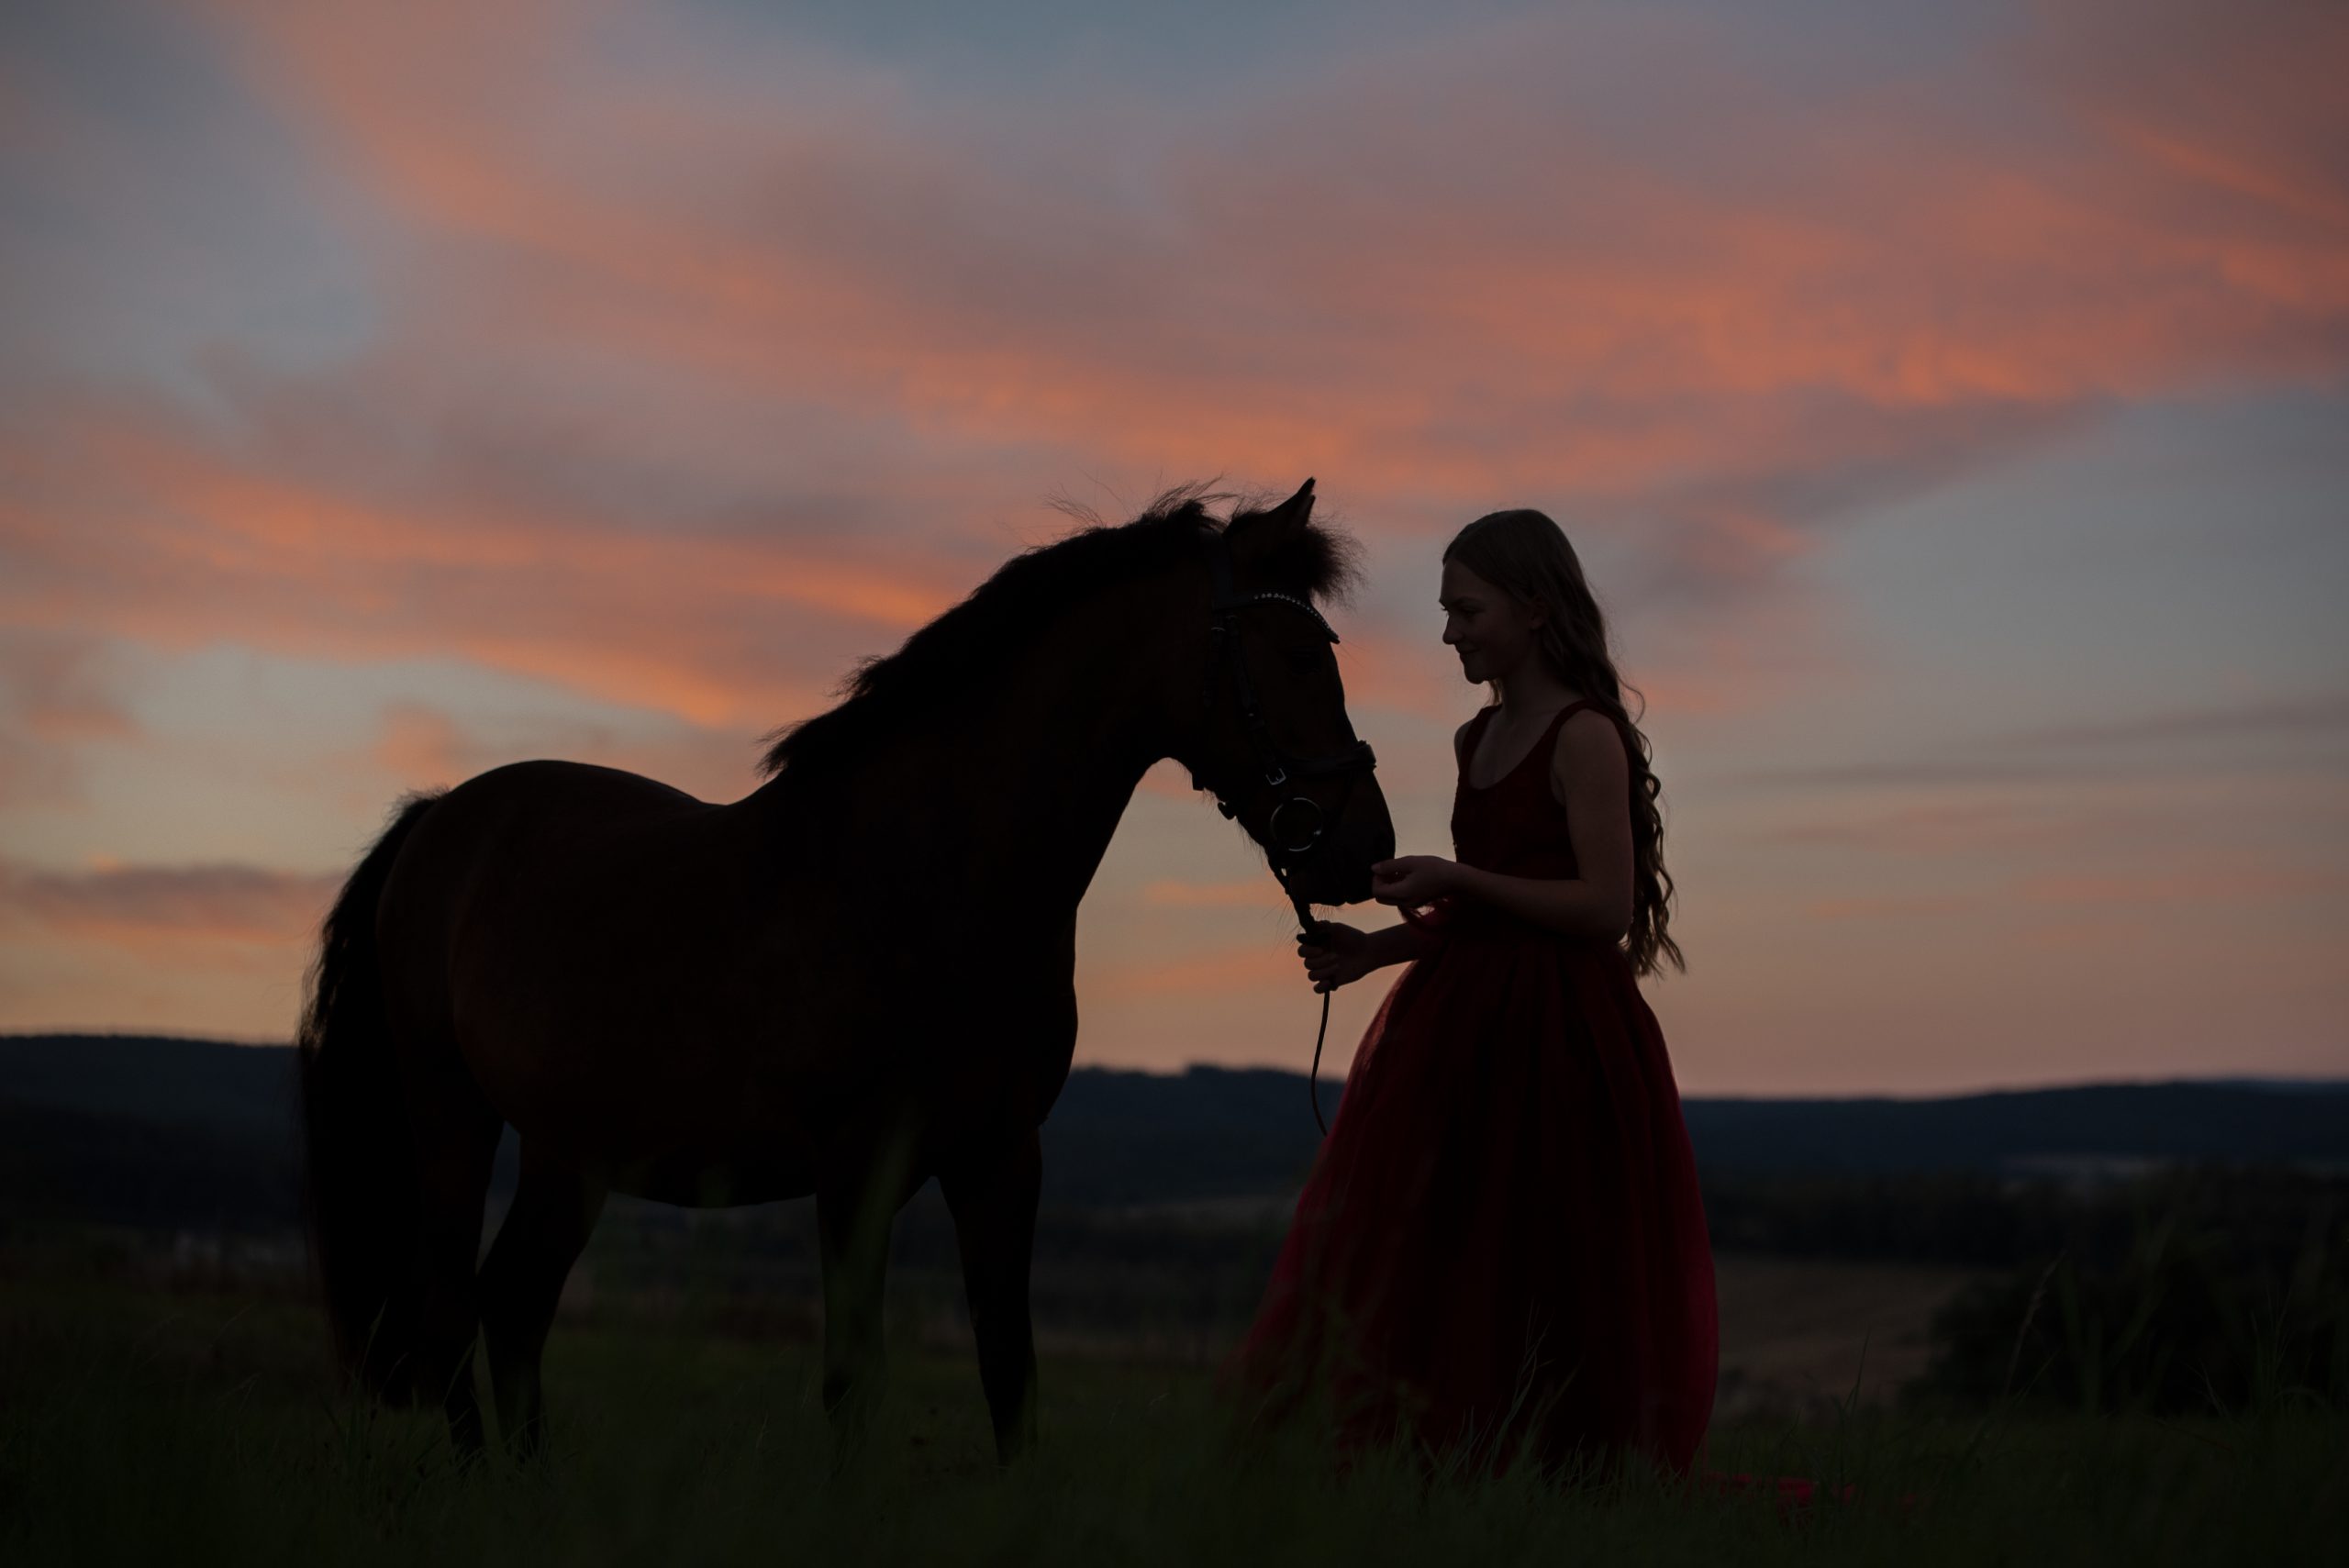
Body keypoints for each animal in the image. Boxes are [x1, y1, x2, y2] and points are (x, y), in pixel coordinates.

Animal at [294, 473, 1390, 1455]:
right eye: (1301, 655)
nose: (1366, 847)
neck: (928, 879)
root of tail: (442, 814)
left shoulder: (1001, 1157)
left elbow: (1010, 1373)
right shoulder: (856, 1169)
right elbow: (854, 1381)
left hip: (573, 1148)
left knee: (514, 1300)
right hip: (451, 1109)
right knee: (447, 1305)